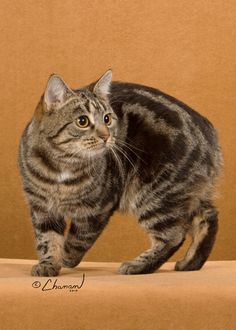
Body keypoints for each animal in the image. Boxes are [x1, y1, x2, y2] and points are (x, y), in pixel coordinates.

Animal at [18, 69, 221, 276]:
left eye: (107, 119)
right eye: (82, 121)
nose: (106, 136)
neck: (62, 166)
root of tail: (210, 137)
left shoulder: (97, 208)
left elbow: (79, 239)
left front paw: (66, 257)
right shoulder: (42, 207)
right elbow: (47, 239)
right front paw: (48, 264)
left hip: (155, 194)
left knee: (174, 235)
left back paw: (137, 266)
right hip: (183, 194)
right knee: (208, 216)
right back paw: (190, 263)